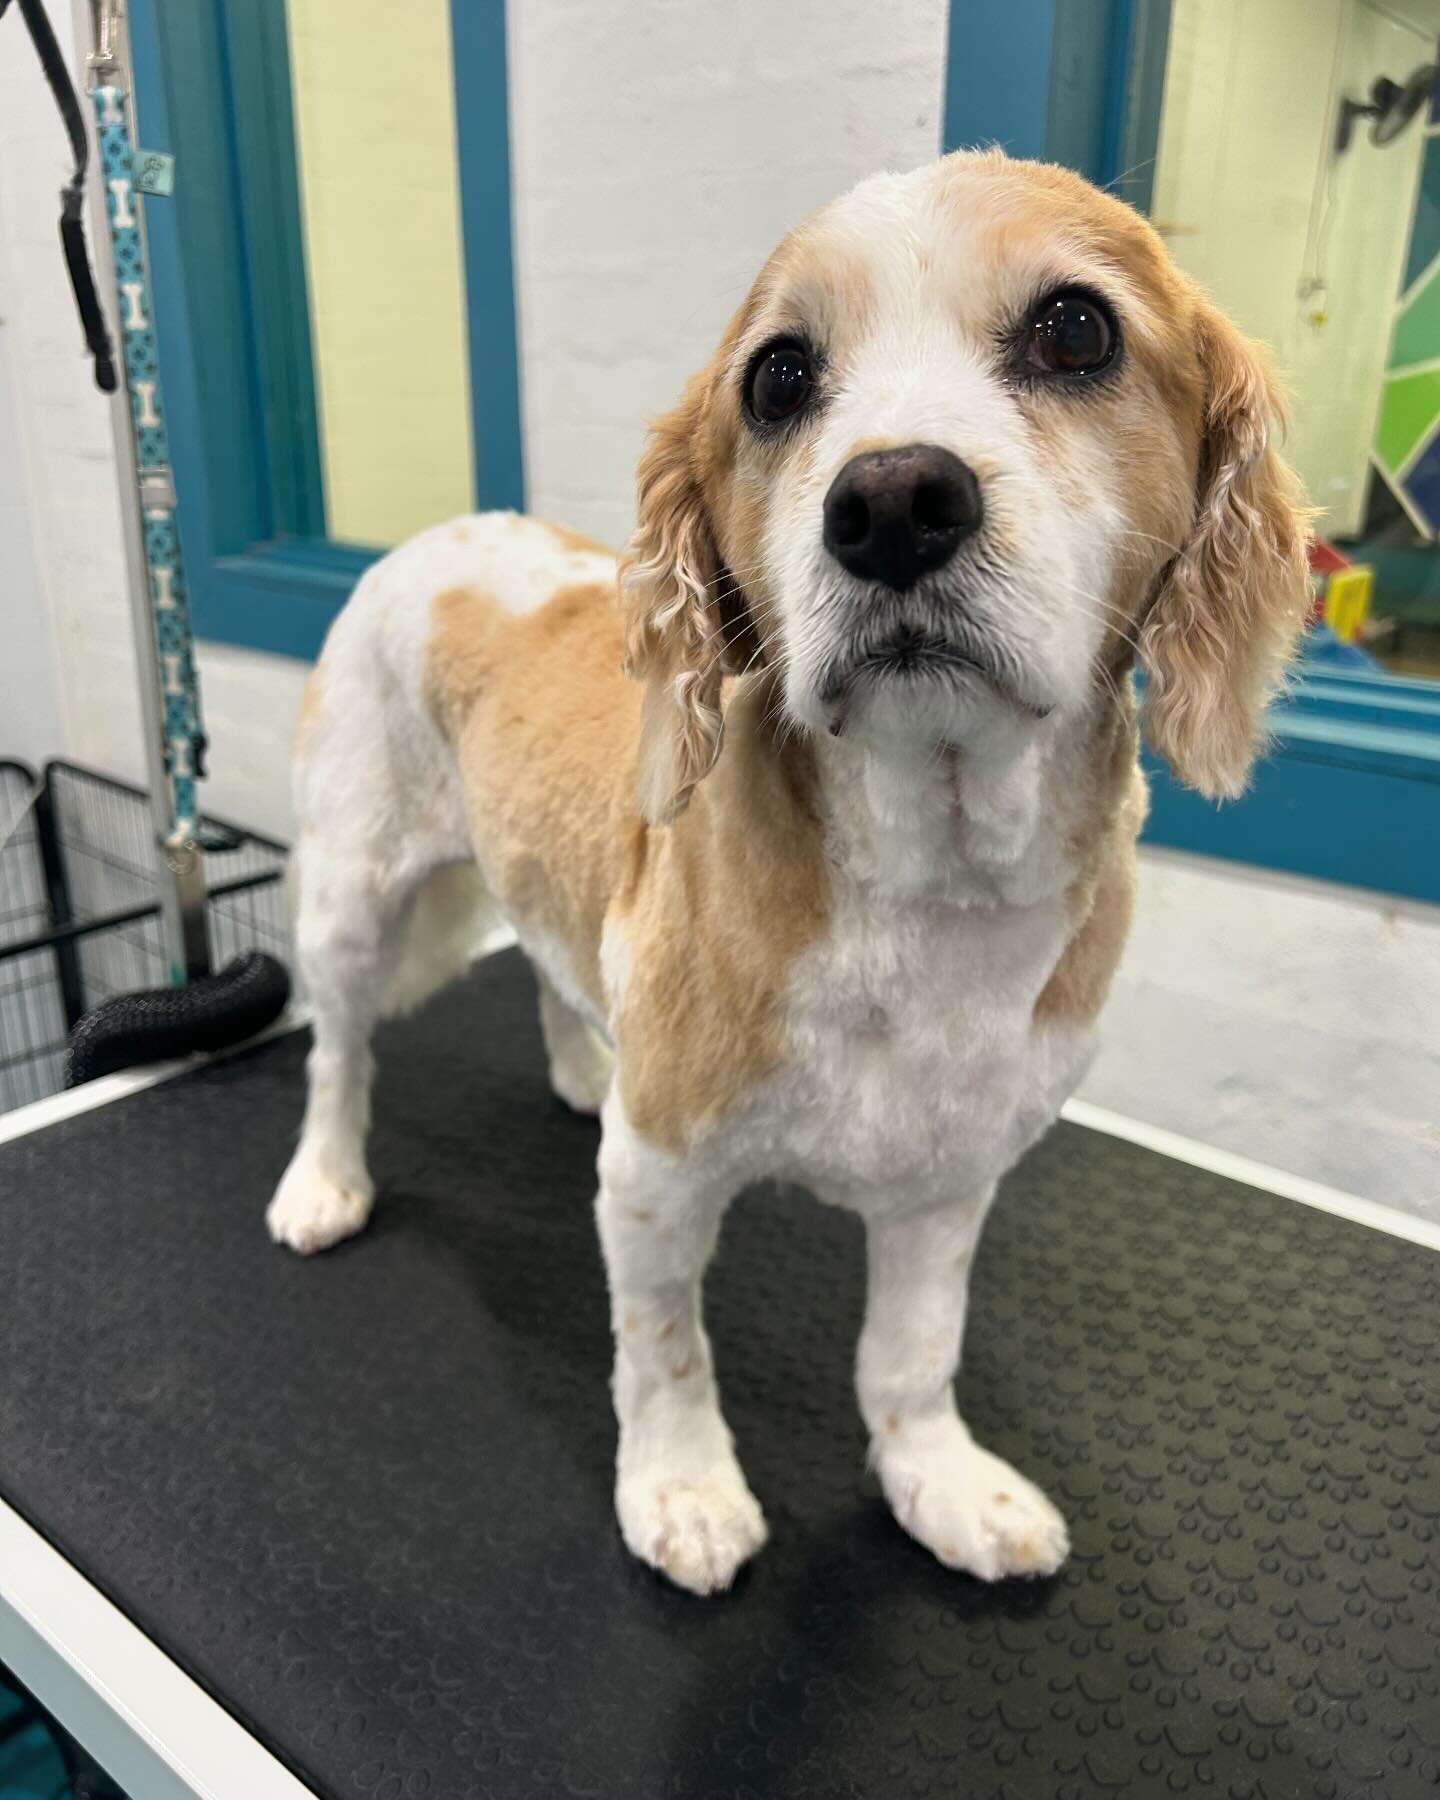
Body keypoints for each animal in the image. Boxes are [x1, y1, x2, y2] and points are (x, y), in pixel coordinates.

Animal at [264, 151, 1310, 1591]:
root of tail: (435, 538)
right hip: (352, 892)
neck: (929, 882)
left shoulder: (950, 1180)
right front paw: (684, 1490)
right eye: (777, 379)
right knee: (337, 1054)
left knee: (544, 962)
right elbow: (665, 1353)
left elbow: (910, 1360)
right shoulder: (656, 1182)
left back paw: (581, 1062)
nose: (893, 503)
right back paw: (324, 1181)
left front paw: (938, 1484)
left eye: (1076, 330)